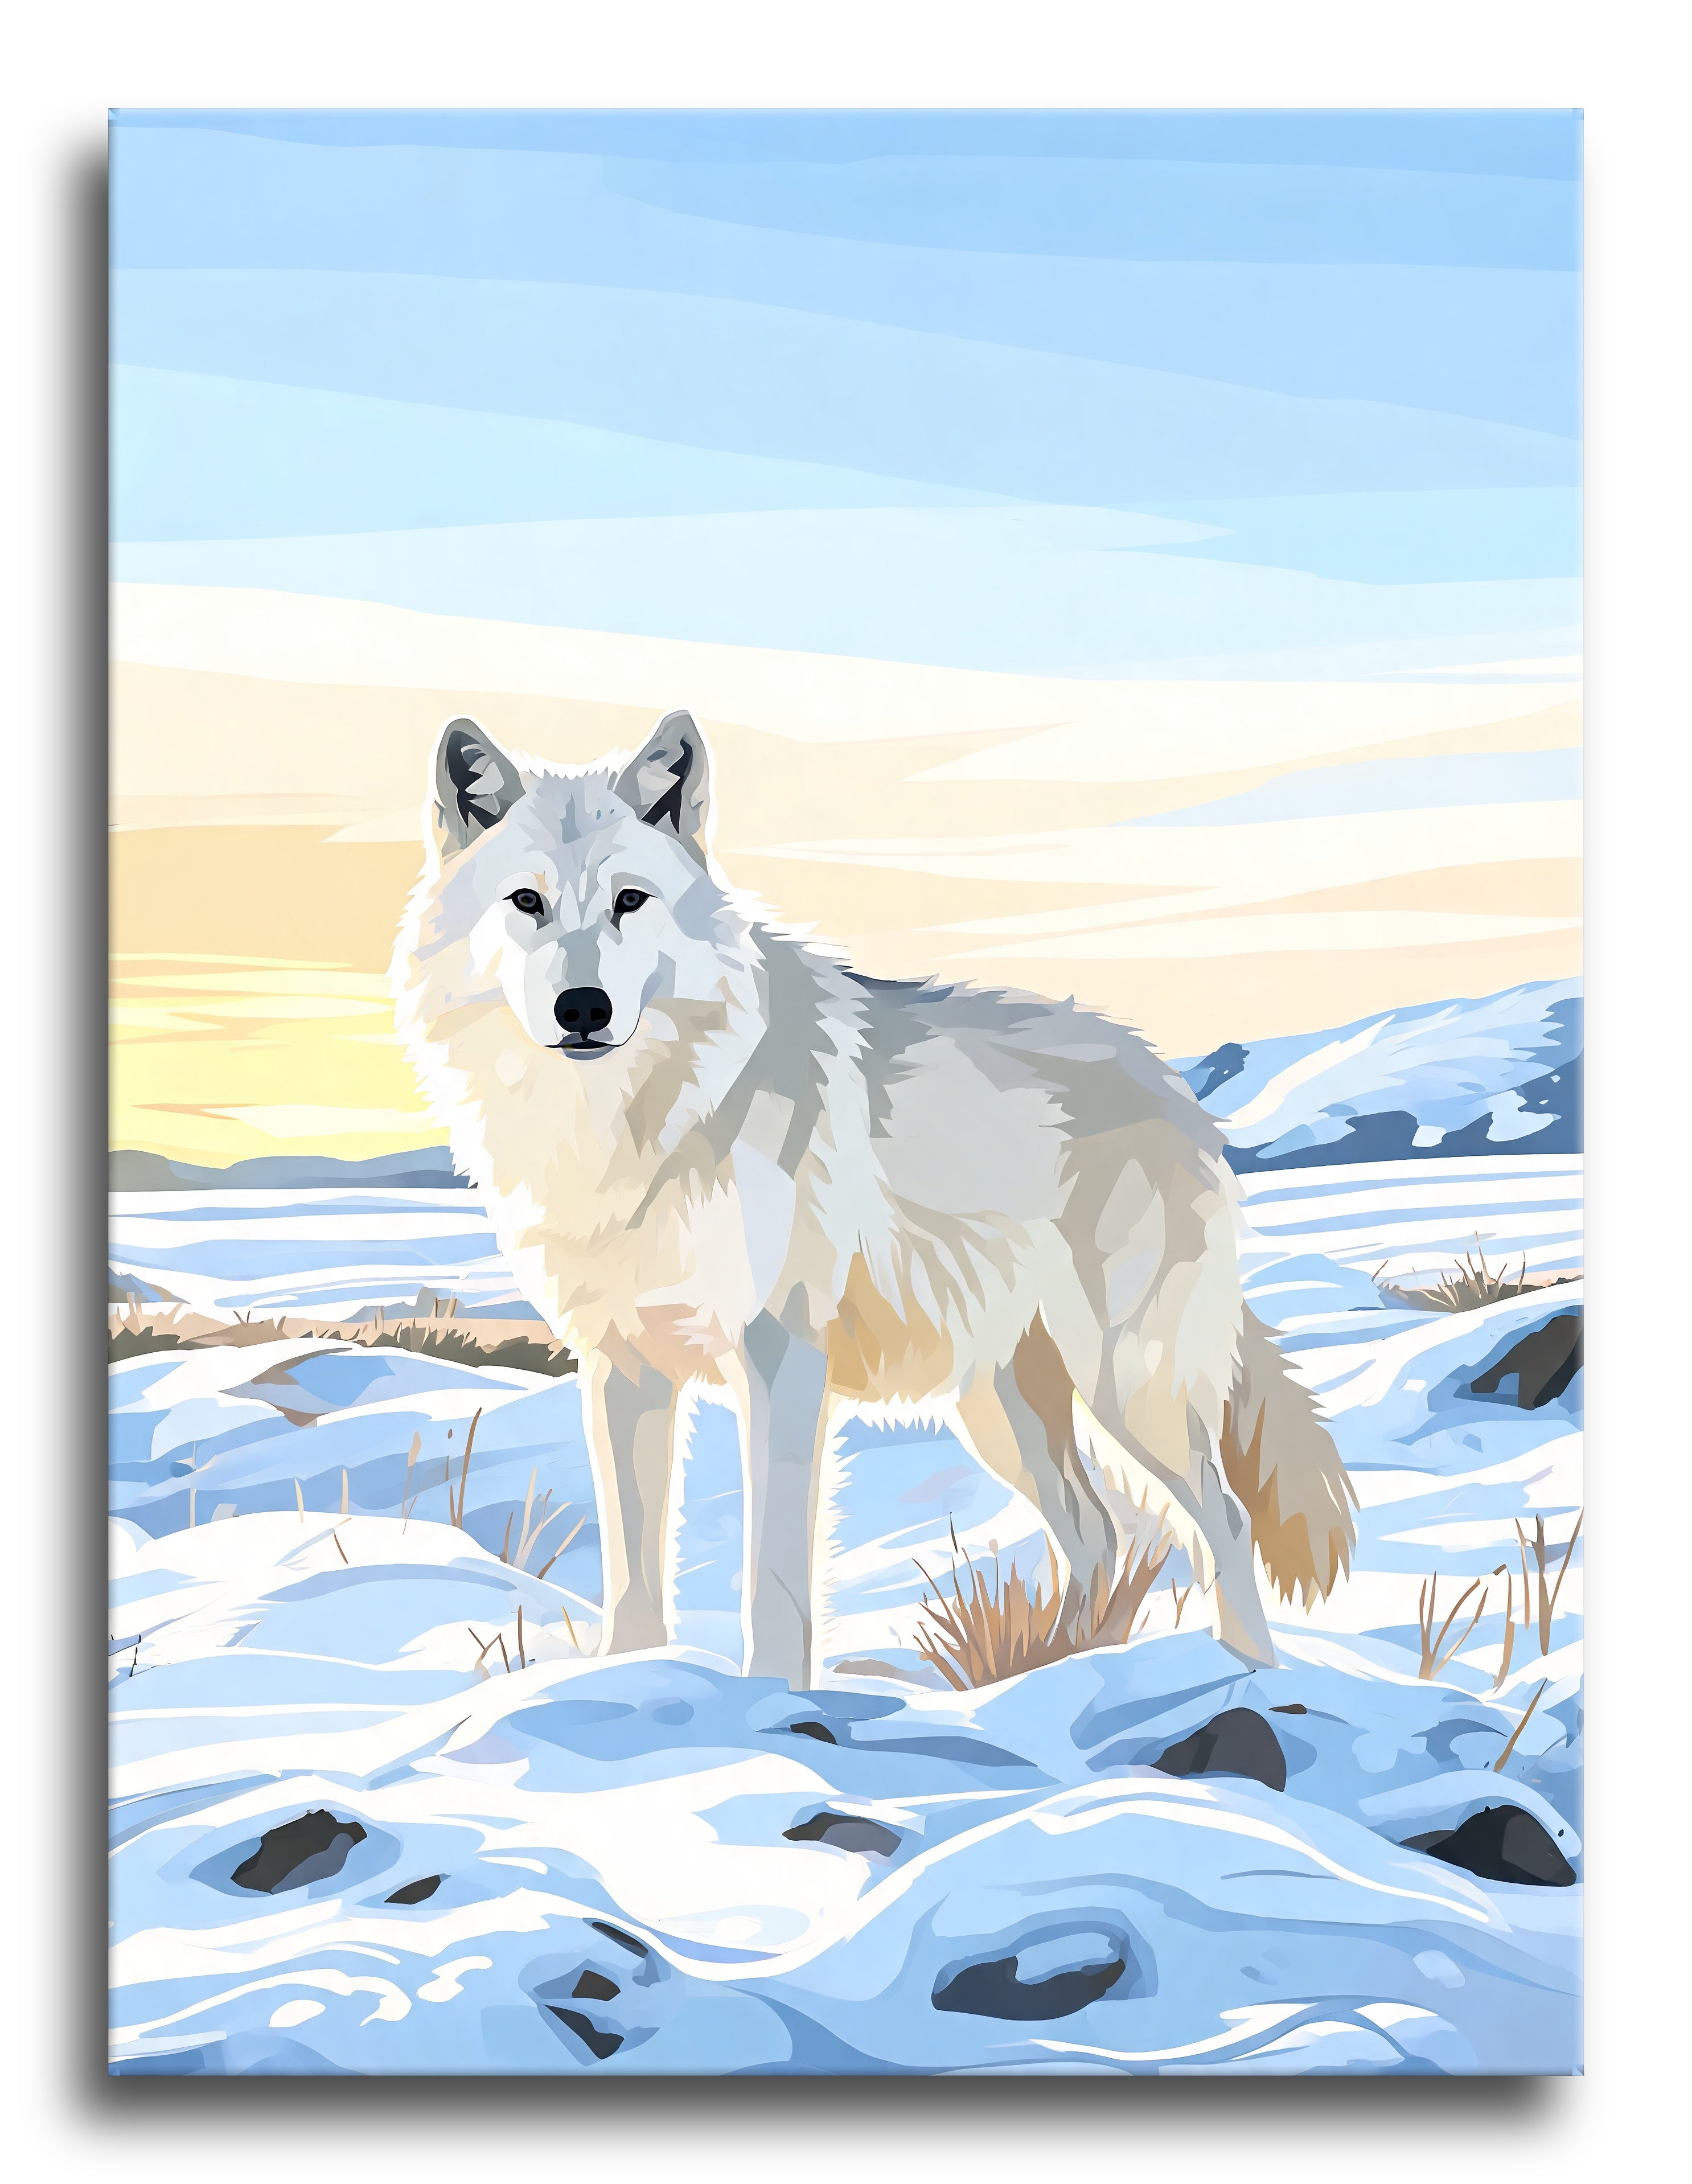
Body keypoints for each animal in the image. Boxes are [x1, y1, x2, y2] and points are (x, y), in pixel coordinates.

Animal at [392, 709, 1355, 1690]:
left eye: (631, 901)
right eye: (527, 902)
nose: (583, 1008)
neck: (631, 1121)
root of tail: (1173, 1083)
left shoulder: (779, 1358)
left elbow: (773, 1573)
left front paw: (769, 1701)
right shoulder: (622, 1367)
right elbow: (634, 1572)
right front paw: (628, 1679)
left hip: (1125, 1384)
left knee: (1221, 1522)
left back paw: (1249, 1677)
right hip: (1004, 1412)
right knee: (1099, 1534)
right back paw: (1058, 1674)